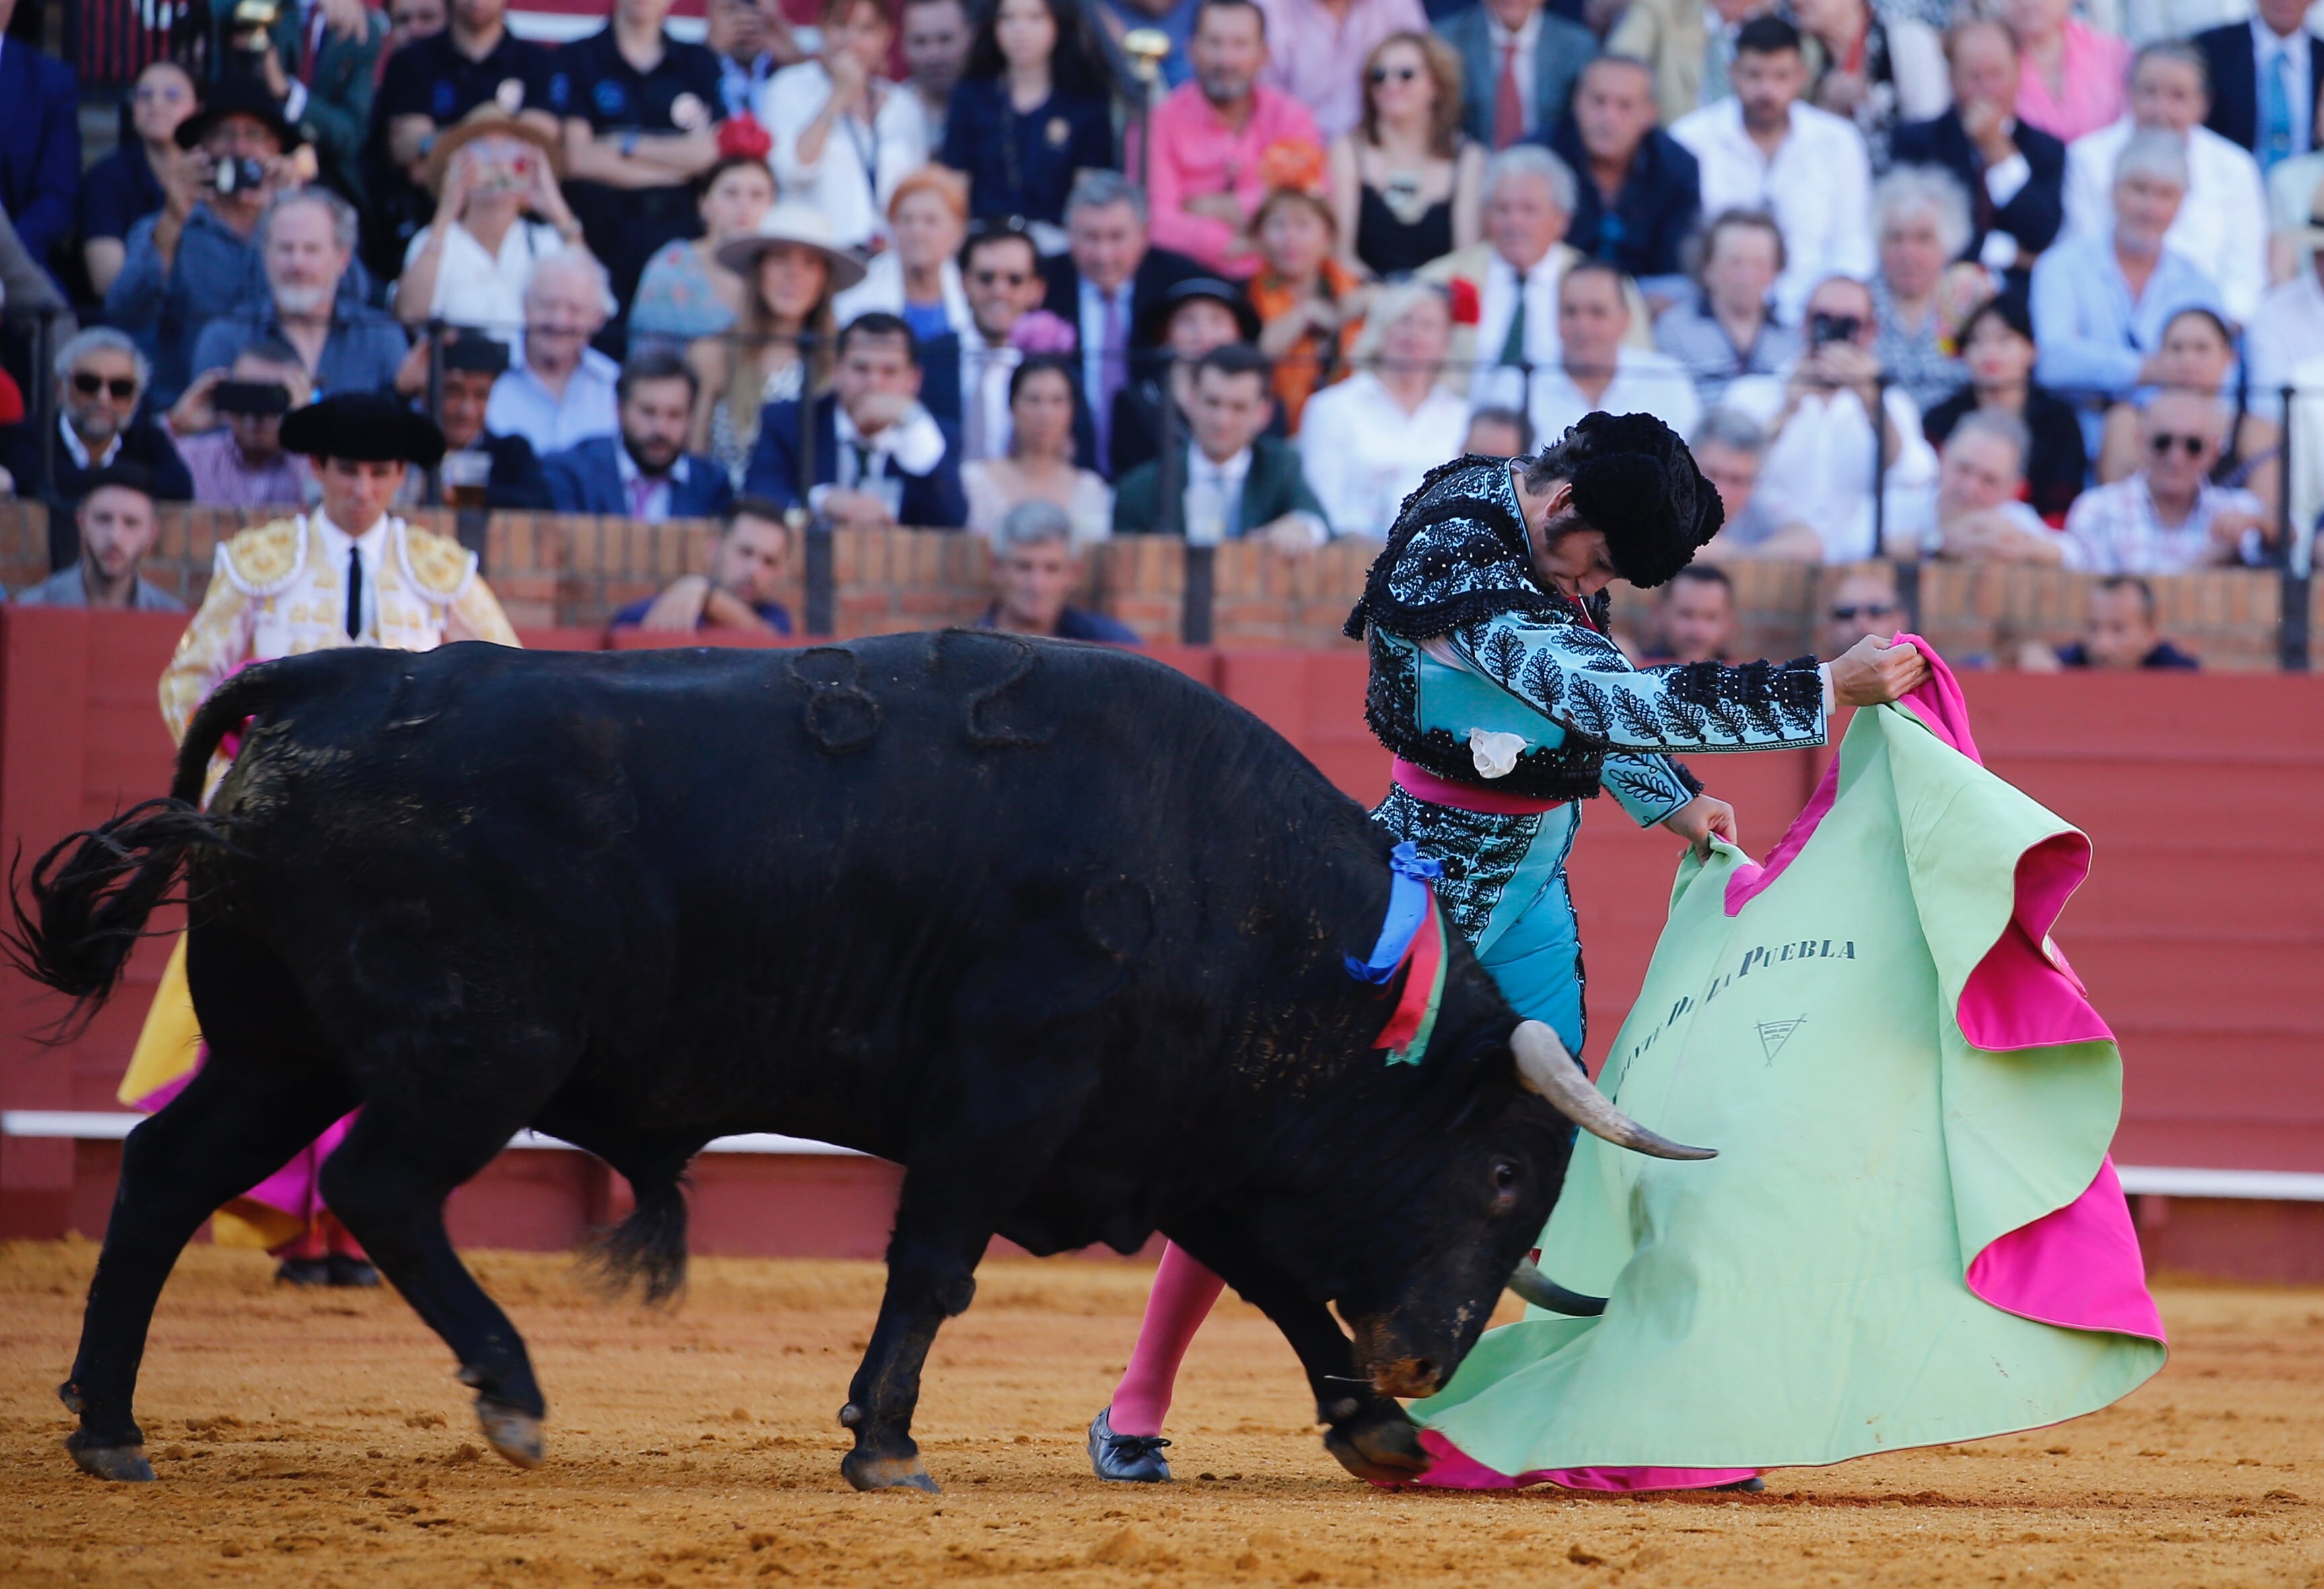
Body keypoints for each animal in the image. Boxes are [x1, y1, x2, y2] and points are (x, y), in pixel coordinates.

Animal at [13, 631, 1691, 1487]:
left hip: (279, 1050)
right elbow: (934, 1266)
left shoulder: (1174, 1138)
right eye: (1499, 1174)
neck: (1230, 888)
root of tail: (322, 681)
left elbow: (1272, 1279)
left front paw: (1373, 1426)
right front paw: (883, 1442)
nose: (1431, 1359)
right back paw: (512, 1393)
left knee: (161, 1175)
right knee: (376, 1187)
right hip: (467, 1057)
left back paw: (110, 1426)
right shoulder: (1006, 1096)